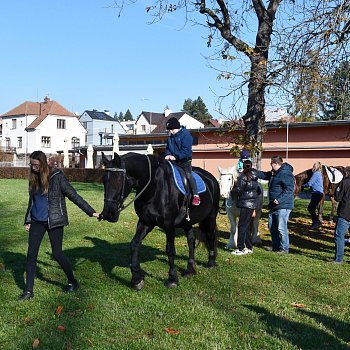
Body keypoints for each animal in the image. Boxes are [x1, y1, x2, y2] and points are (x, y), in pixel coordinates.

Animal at [100, 152, 219, 292]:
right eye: (103, 180)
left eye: (118, 180)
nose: (108, 214)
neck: (155, 187)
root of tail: (211, 179)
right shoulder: (145, 222)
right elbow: (134, 244)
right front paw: (137, 279)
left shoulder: (169, 225)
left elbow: (170, 250)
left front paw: (172, 279)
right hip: (187, 222)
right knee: (191, 240)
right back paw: (190, 269)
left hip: (210, 217)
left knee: (211, 236)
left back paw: (211, 262)